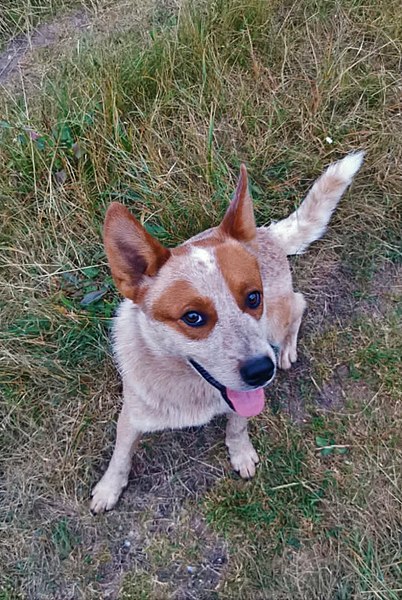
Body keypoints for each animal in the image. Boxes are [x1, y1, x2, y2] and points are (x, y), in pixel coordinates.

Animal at [91, 152, 364, 512]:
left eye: (253, 298)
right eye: (193, 317)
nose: (262, 371)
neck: (191, 389)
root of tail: (262, 234)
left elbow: (237, 426)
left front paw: (241, 453)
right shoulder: (132, 414)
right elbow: (120, 455)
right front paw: (109, 488)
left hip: (276, 319)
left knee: (299, 302)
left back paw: (288, 349)